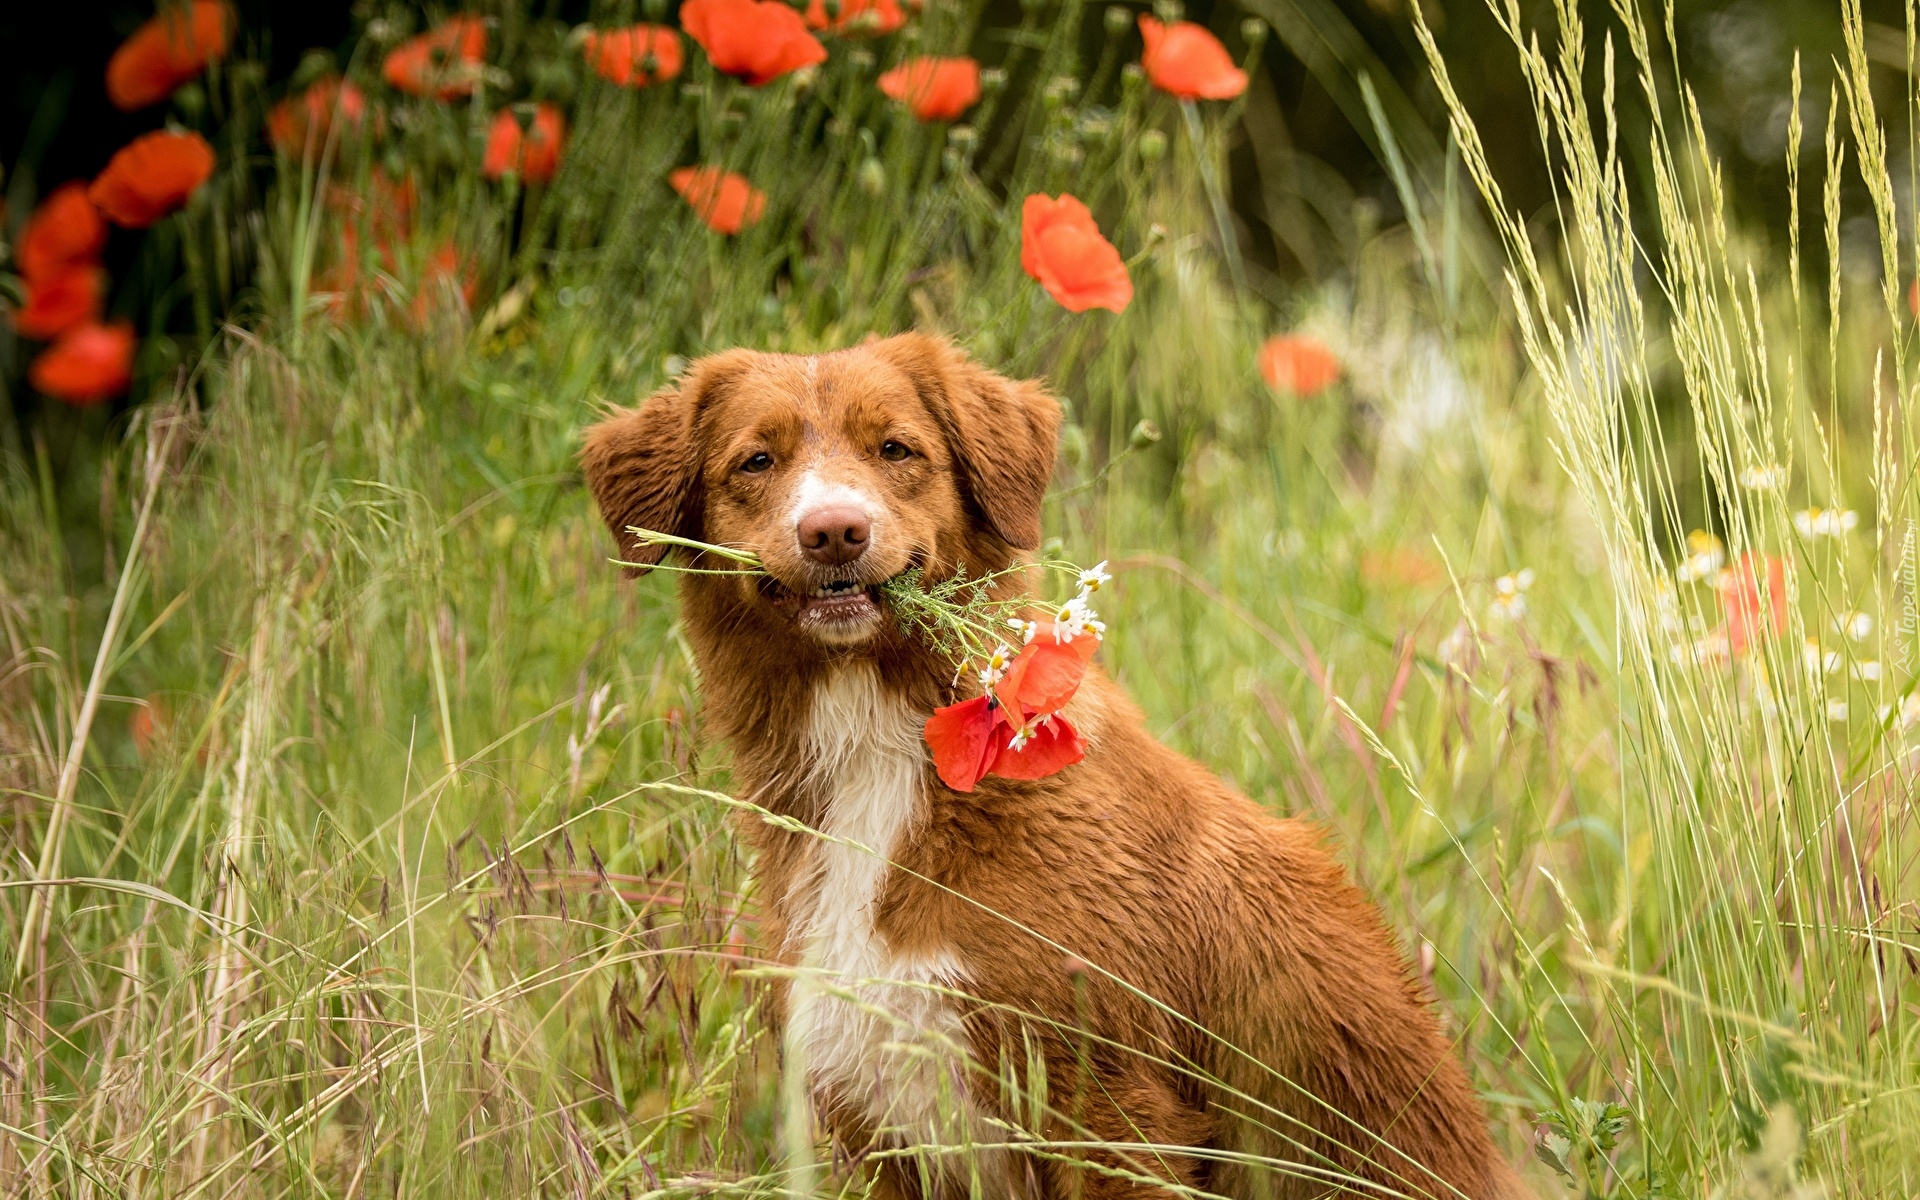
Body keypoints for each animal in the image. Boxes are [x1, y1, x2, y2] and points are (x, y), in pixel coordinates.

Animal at [579, 332, 1512, 1190]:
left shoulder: (1107, 1107)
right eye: (757, 460)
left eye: (896, 449)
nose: (834, 530)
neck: (879, 753)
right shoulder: (870, 1113)